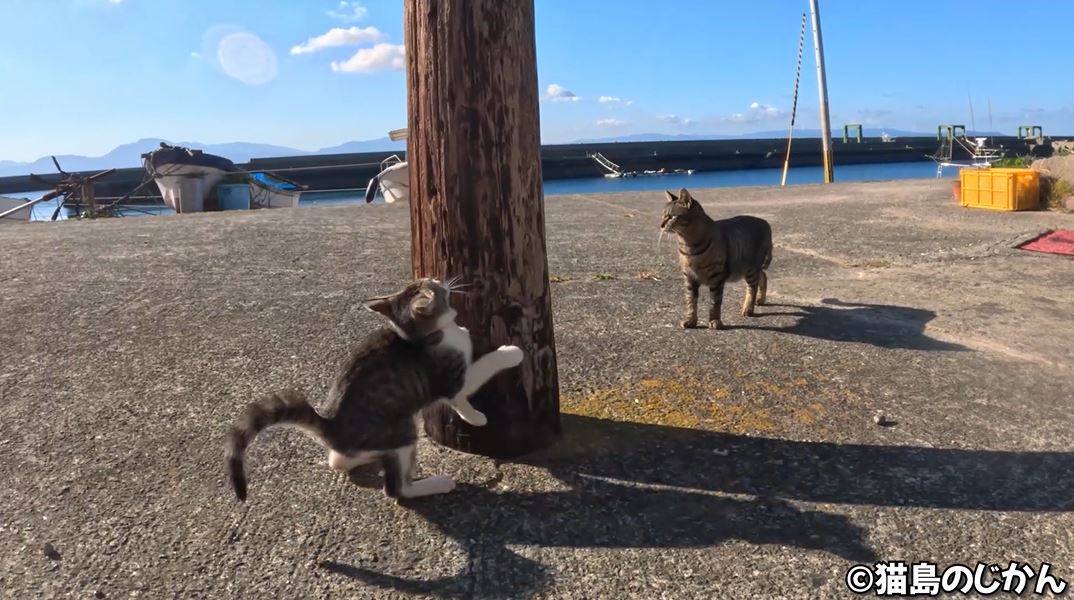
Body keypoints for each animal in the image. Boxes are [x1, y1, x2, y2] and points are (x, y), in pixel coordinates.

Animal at [225, 277, 524, 502]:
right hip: (402, 430)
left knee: (340, 459)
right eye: (432, 283)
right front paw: (511, 354)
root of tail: (330, 424)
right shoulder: (452, 377)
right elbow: (478, 372)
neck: (425, 335)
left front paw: (471, 416)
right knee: (396, 489)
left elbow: (459, 401)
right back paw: (436, 484)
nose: (440, 278)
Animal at [660, 188, 773, 329]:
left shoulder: (716, 278)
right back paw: (761, 300)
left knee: (753, 287)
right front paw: (690, 320)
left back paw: (748, 308)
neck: (688, 245)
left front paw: (714, 321)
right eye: (663, 215)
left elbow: (714, 303)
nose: (661, 225)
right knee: (763, 276)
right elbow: (691, 302)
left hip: (750, 269)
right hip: (749, 268)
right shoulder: (689, 278)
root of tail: (766, 222)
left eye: (671, 216)